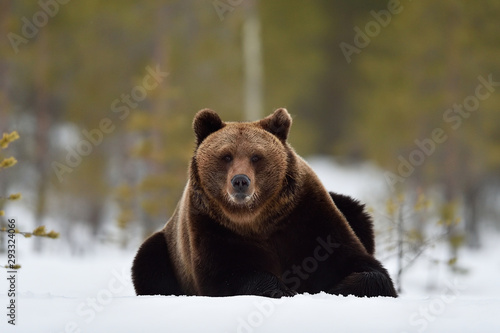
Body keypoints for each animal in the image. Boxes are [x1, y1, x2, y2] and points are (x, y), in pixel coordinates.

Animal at [133, 107, 398, 296]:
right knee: (147, 260)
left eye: (256, 156)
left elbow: (361, 265)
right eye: (226, 156)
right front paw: (283, 289)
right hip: (167, 248)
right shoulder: (212, 227)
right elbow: (227, 273)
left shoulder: (307, 217)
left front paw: (338, 287)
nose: (240, 181)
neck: (258, 217)